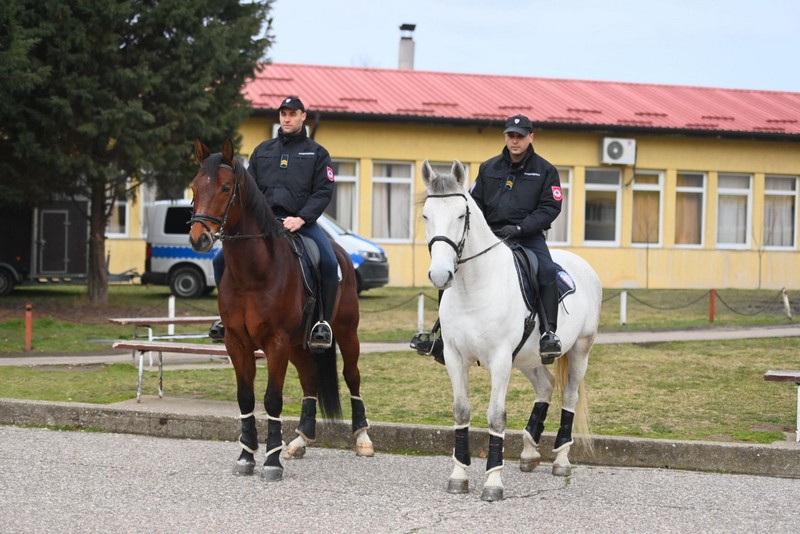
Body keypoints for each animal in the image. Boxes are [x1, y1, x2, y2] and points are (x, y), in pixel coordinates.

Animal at [189, 140, 374, 484]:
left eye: (225, 187)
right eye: (194, 187)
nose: (199, 238)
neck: (254, 271)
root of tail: (341, 252)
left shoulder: (276, 344)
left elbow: (272, 399)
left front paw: (272, 461)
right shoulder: (237, 343)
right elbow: (246, 398)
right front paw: (246, 456)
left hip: (346, 332)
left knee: (352, 376)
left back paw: (362, 438)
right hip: (299, 345)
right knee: (311, 378)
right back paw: (301, 439)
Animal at [424, 159, 600, 502]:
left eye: (461, 215)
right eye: (425, 215)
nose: (440, 274)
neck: (473, 288)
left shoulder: (500, 359)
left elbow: (496, 416)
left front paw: (493, 481)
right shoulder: (454, 358)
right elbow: (461, 412)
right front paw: (459, 475)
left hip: (579, 351)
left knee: (569, 397)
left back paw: (561, 460)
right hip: (528, 359)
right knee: (545, 387)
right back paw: (530, 452)